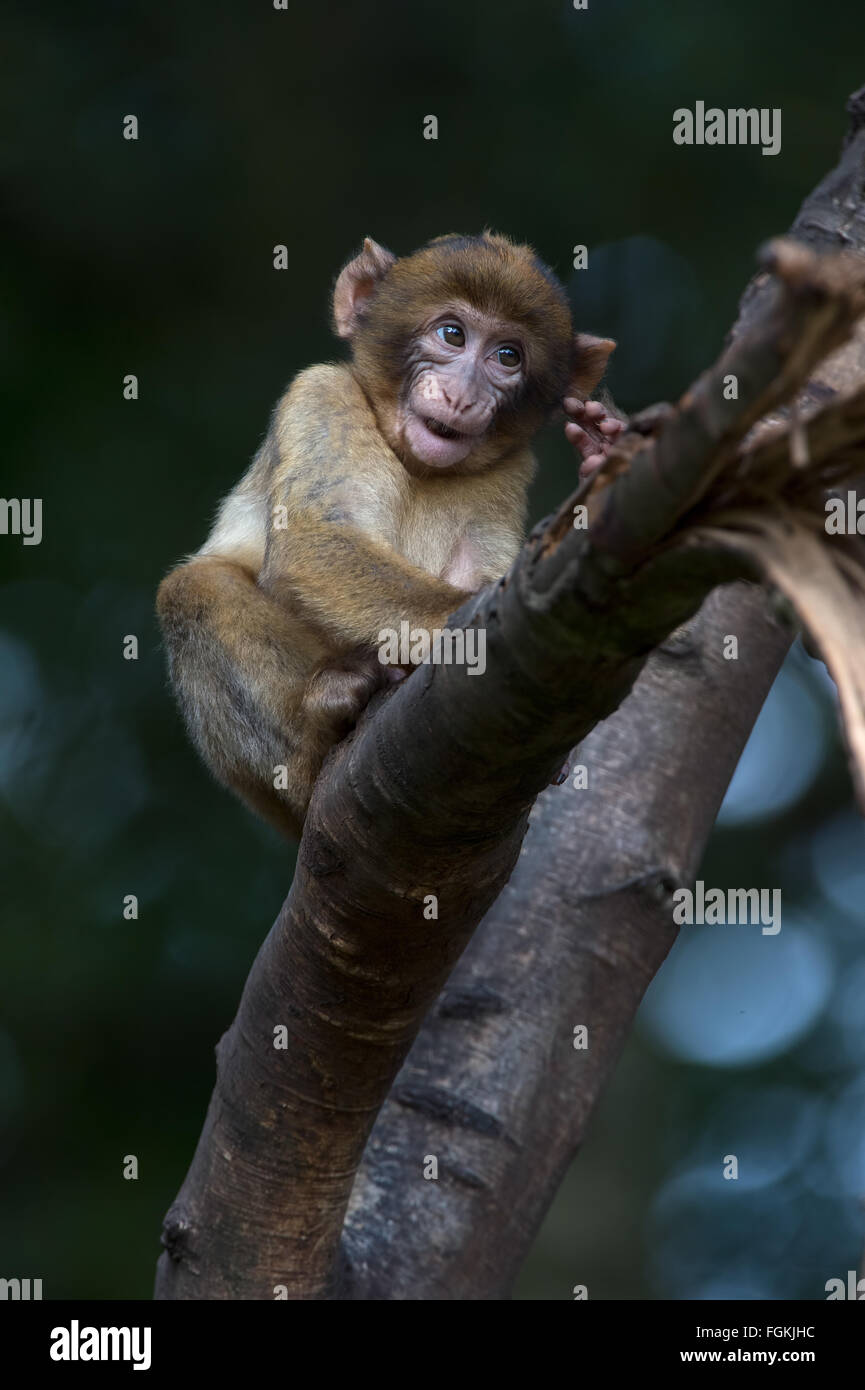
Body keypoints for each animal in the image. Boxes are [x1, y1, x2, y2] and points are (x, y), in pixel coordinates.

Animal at [156, 232, 624, 841]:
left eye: (507, 356)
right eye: (452, 335)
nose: (462, 394)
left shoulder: (509, 470)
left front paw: (602, 455)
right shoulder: (322, 396)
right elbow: (315, 542)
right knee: (193, 590)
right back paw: (323, 722)